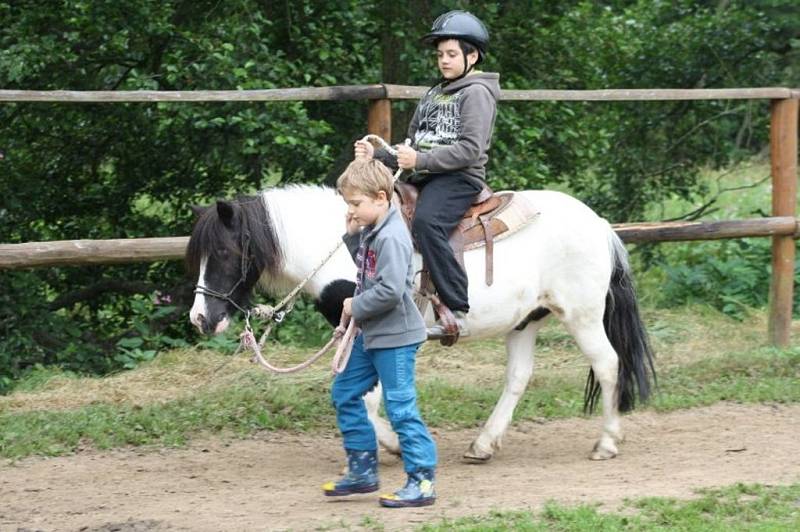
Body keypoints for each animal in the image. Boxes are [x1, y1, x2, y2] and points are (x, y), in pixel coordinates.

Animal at [188, 186, 656, 462]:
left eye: (225, 252)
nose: (200, 319)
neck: (345, 246)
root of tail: (601, 227)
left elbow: (368, 400)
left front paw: (394, 444)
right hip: (525, 322)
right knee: (519, 377)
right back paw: (483, 444)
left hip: (582, 315)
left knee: (608, 365)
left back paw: (606, 443)